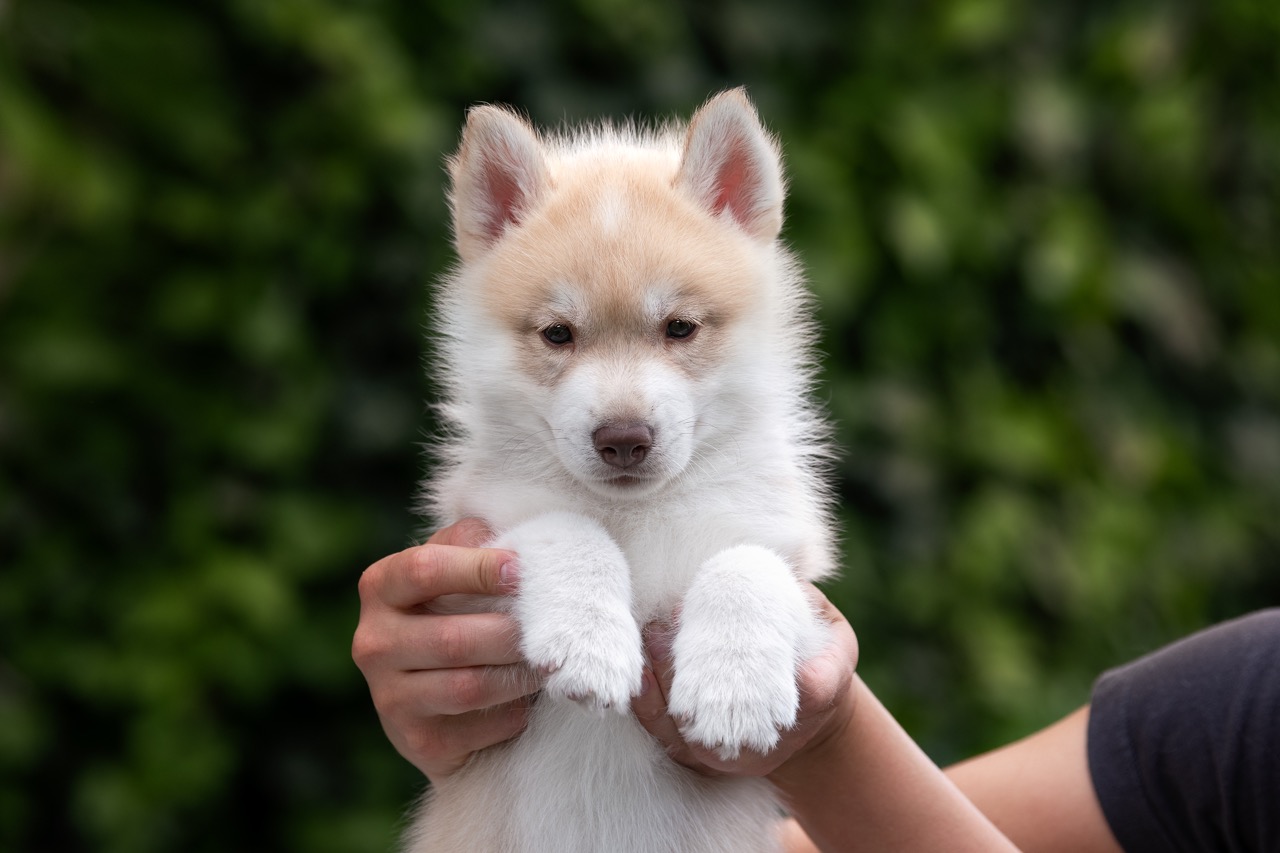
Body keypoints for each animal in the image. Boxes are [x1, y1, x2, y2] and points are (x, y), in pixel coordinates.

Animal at [404, 89, 834, 845]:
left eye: (680, 328)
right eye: (557, 334)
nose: (624, 439)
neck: (635, 516)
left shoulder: (795, 564)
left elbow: (746, 565)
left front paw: (734, 689)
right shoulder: (474, 543)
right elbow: (566, 529)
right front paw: (589, 642)